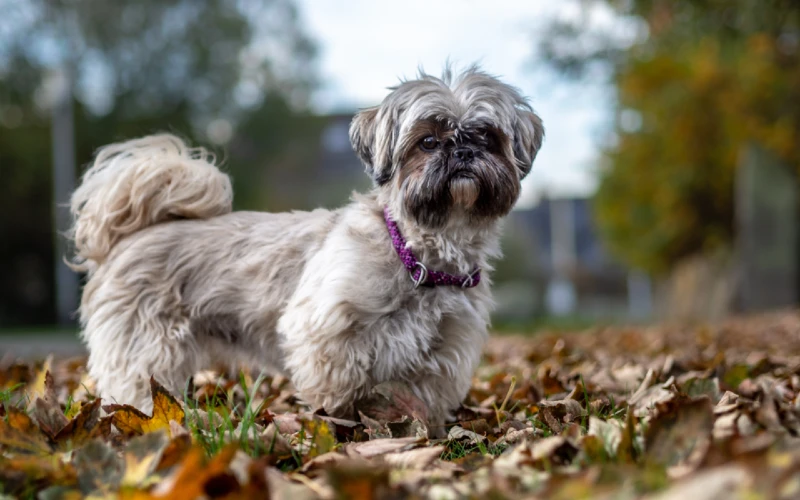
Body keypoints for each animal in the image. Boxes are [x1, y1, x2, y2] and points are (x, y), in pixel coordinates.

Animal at [69, 65, 544, 426]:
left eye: (487, 137)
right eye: (427, 142)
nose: (462, 151)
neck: (417, 253)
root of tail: (131, 236)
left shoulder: (441, 355)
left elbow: (417, 402)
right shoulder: (324, 332)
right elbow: (340, 391)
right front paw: (344, 428)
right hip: (146, 351)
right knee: (136, 388)